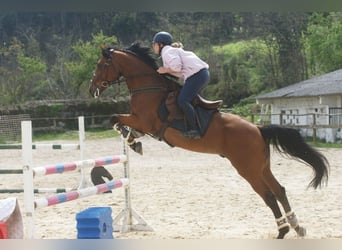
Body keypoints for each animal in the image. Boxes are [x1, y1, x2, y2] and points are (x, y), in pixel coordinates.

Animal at [89, 42, 328, 238]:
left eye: (101, 64)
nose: (92, 90)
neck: (149, 87)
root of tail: (258, 128)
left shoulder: (144, 120)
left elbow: (115, 118)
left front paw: (132, 141)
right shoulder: (141, 122)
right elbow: (121, 122)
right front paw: (134, 139)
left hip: (247, 169)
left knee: (268, 195)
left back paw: (282, 231)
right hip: (262, 167)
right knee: (279, 190)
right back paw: (297, 226)